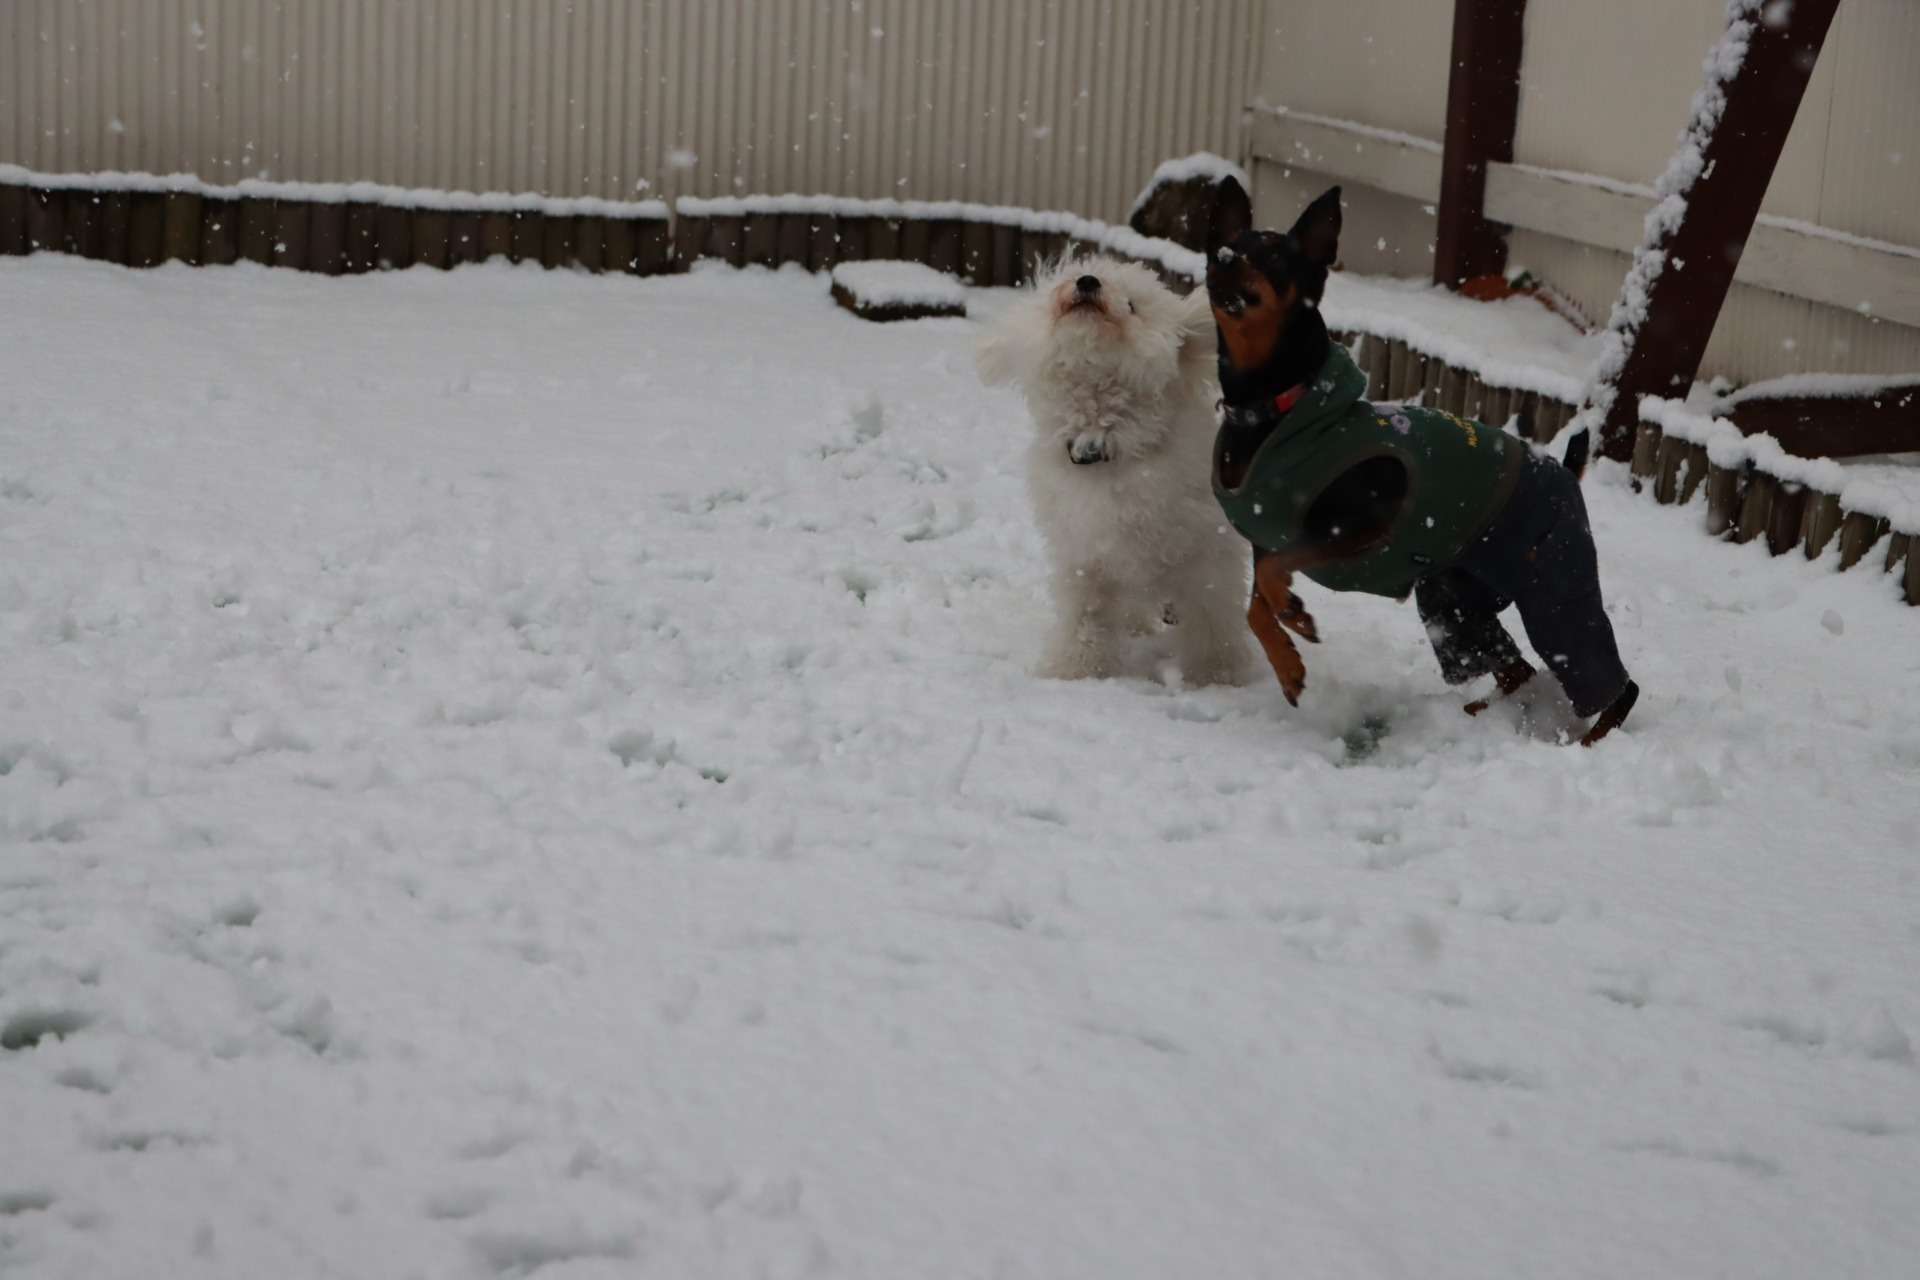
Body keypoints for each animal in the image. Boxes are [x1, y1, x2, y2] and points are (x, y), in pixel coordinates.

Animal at [975, 253, 1259, 687]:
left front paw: (1216, 676)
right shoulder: (1085, 556)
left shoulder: (1207, 556)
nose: (1088, 282)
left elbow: (1212, 619)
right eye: (1079, 275)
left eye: (1133, 305)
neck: (1108, 444)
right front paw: (1074, 671)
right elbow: (1085, 619)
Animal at [1198, 175, 1635, 744]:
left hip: (1553, 569)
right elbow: (1255, 605)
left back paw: (1588, 741)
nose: (1224, 259)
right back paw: (1477, 718)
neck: (1272, 409)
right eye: (1223, 248)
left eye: (1273, 255)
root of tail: (1564, 469)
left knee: (1600, 671)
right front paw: (1289, 665)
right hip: (1454, 597)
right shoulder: (1264, 537)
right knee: (1514, 666)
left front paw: (1295, 618)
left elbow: (1277, 572)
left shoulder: (1359, 523)